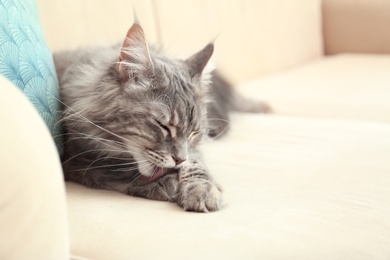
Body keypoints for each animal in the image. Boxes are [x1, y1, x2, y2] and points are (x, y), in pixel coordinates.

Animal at [53, 19, 270, 211]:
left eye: (194, 133)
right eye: (163, 126)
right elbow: (119, 172)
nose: (179, 160)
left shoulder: (191, 150)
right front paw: (167, 183)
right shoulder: (78, 157)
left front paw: (201, 189)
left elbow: (195, 163)